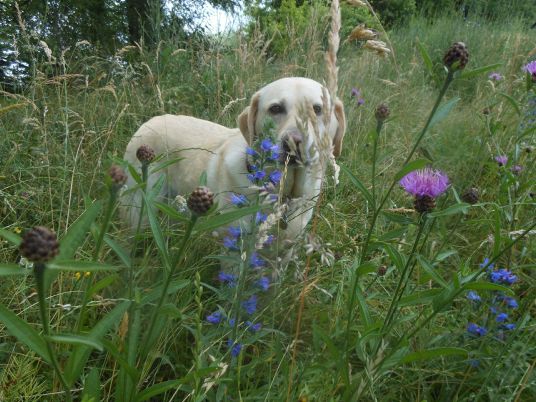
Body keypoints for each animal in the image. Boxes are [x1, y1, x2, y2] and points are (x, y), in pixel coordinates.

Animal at [121, 77, 346, 237]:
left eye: (317, 109)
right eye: (275, 108)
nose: (293, 141)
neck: (284, 194)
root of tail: (149, 121)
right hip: (139, 205)